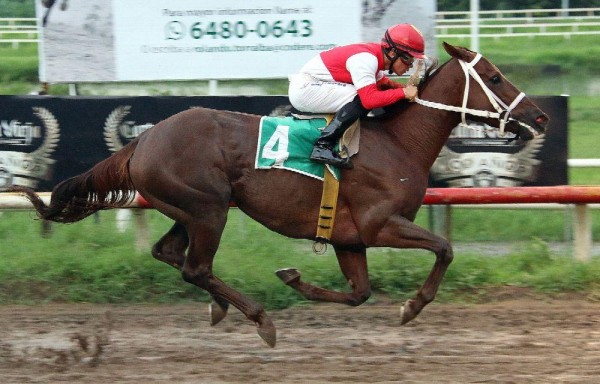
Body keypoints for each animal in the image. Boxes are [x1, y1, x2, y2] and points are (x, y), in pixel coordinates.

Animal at [7, 42, 548, 348]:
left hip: (190, 207)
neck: (398, 143)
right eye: (495, 77)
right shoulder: (379, 224)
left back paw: (222, 307)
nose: (540, 117)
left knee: (170, 253)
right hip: (208, 208)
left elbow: (359, 293)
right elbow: (444, 248)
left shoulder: (349, 237)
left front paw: (295, 278)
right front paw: (412, 306)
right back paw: (259, 319)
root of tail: (144, 138)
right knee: (194, 266)